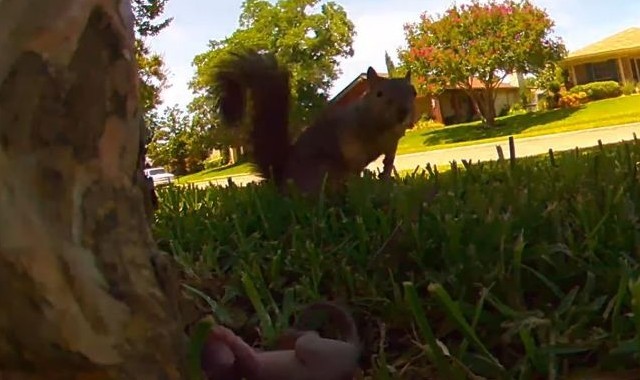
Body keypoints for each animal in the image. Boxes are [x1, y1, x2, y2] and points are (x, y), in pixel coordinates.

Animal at [212, 49, 418, 194]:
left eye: (414, 92)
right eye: (379, 94)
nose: (403, 112)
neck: (383, 126)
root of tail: (283, 180)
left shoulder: (392, 142)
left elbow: (390, 159)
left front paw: (386, 176)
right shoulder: (347, 134)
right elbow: (354, 157)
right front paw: (363, 173)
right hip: (321, 171)